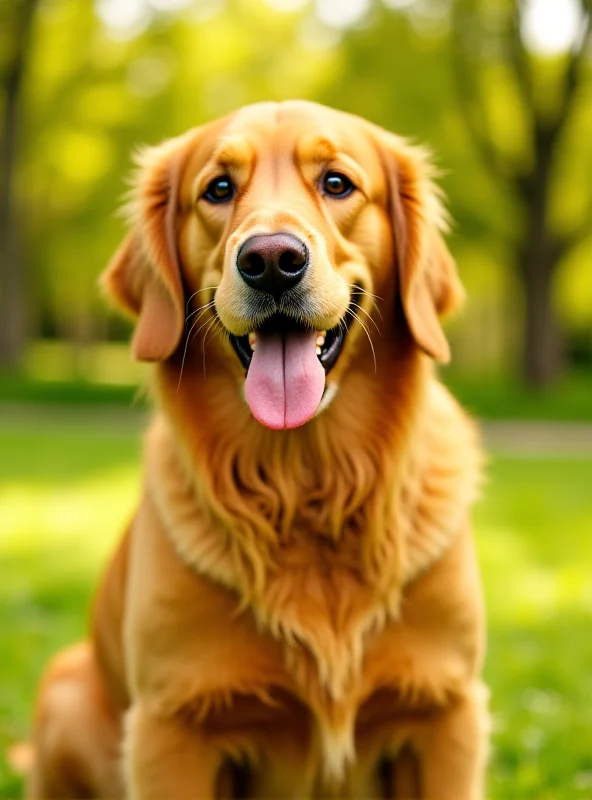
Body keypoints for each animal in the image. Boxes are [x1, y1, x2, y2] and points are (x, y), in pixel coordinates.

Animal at [25, 103, 488, 796]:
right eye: (218, 189)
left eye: (337, 183)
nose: (271, 260)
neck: (306, 486)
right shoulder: (173, 725)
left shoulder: (446, 712)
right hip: (65, 689)